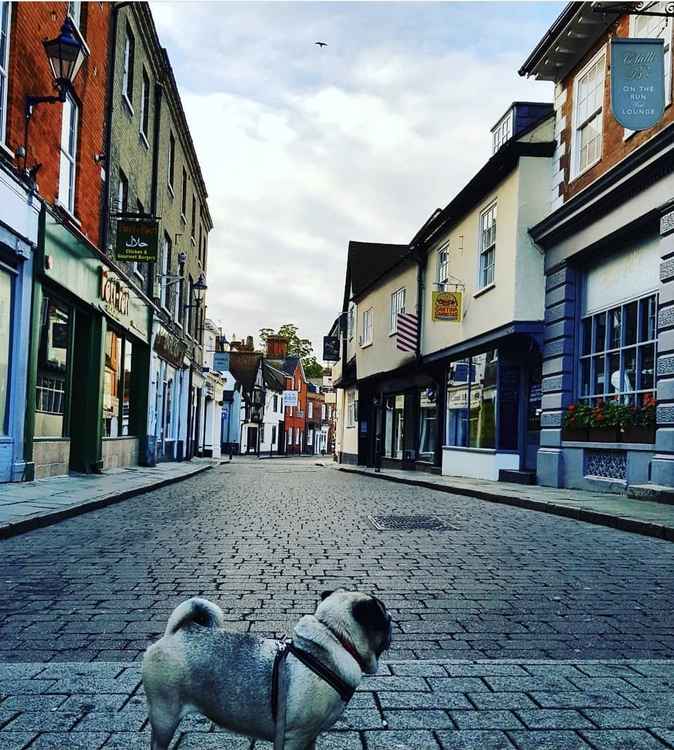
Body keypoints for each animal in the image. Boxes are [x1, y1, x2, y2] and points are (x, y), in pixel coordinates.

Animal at [144, 592, 392, 750]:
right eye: (385, 618)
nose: (391, 620)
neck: (336, 639)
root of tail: (176, 633)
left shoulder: (309, 737)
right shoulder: (295, 737)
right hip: (165, 716)